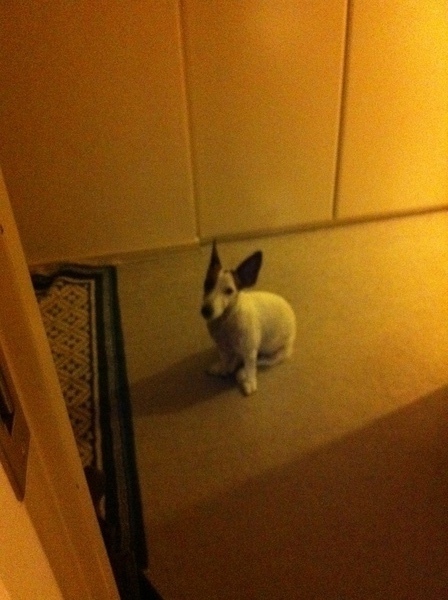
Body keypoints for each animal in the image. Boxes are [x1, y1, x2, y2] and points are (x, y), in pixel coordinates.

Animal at [201, 241, 296, 395]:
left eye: (229, 291)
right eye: (207, 284)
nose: (206, 311)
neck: (227, 320)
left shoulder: (250, 351)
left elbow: (251, 367)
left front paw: (249, 381)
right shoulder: (222, 347)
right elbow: (225, 359)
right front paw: (223, 366)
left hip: (276, 353)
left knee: (260, 361)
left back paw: (242, 372)